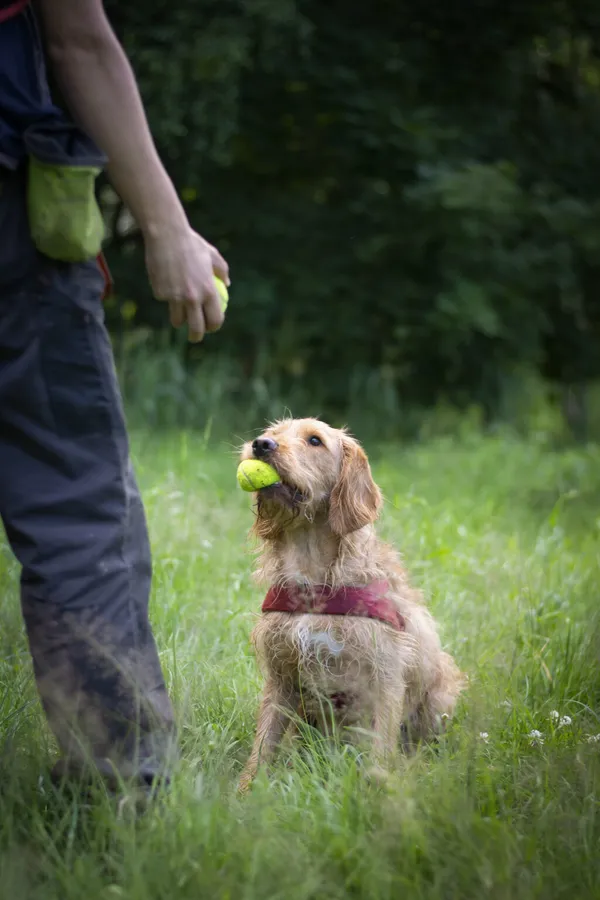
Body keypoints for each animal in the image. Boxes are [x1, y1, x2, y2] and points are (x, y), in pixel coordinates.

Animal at [238, 418, 464, 792]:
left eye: (315, 440)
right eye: (273, 432)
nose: (261, 445)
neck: (313, 581)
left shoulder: (385, 677)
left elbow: (380, 747)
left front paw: (378, 790)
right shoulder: (281, 676)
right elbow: (263, 743)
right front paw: (245, 792)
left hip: (440, 694)